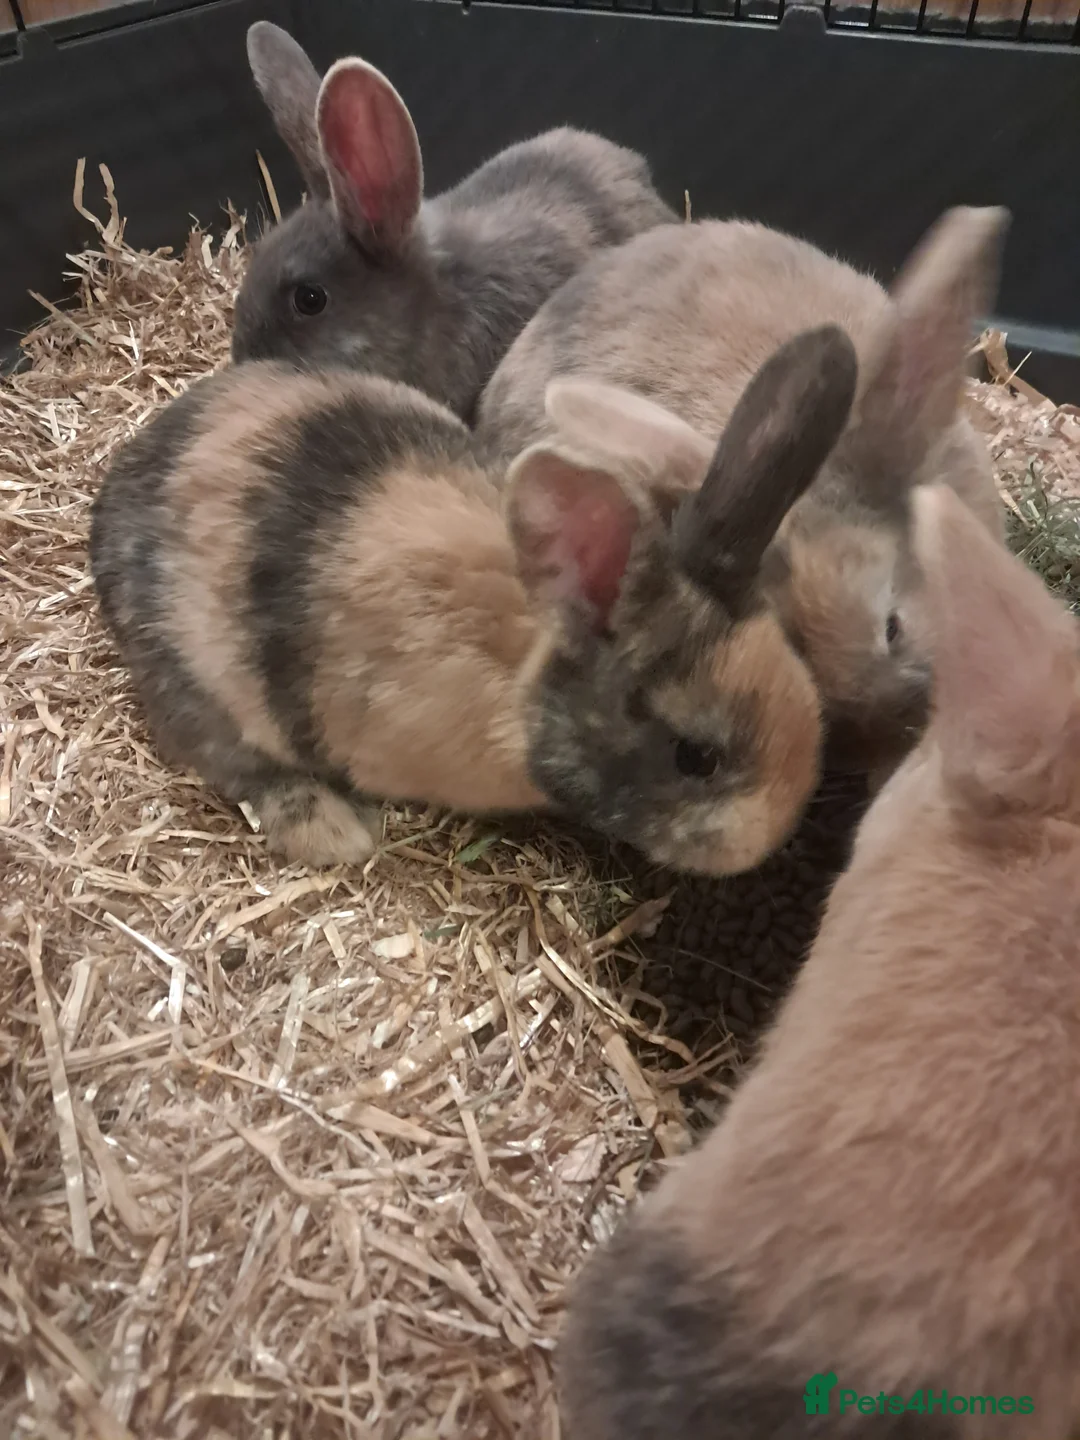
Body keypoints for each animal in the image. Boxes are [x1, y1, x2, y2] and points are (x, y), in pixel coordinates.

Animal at [88, 329, 853, 877]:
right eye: (697, 758)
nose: (776, 829)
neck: (526, 670)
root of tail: (114, 493)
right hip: (199, 681)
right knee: (234, 762)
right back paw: (335, 832)